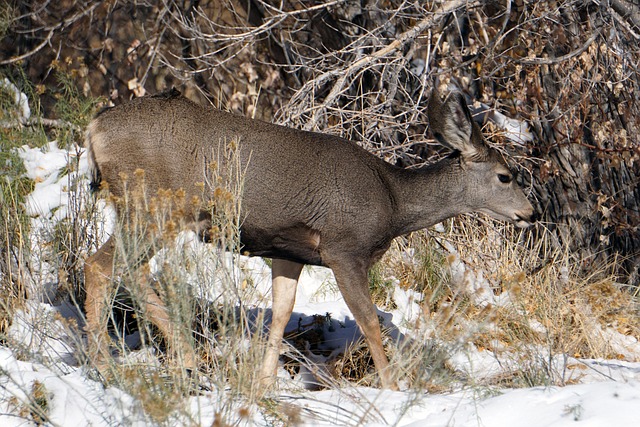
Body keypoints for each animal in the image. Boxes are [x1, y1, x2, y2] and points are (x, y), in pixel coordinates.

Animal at [85, 89, 536, 392]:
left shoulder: (288, 251)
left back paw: (179, 359)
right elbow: (369, 320)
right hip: (154, 205)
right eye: (505, 176)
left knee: (125, 270)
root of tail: (95, 127)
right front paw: (392, 387)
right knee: (102, 265)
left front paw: (265, 382)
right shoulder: (344, 248)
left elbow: (281, 313)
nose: (530, 213)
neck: (392, 202)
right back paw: (114, 366)